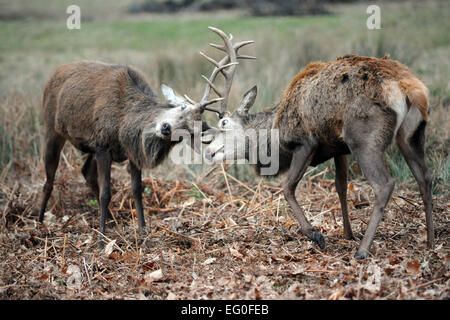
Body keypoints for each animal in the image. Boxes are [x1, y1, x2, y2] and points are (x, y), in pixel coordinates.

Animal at [37, 26, 253, 242]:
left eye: (188, 133)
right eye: (182, 107)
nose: (165, 128)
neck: (123, 124)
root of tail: (54, 73)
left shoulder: (131, 151)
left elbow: (137, 190)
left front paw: (142, 232)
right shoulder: (102, 143)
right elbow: (106, 192)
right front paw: (101, 239)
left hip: (85, 145)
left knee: (85, 172)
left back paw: (111, 219)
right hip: (50, 126)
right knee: (48, 180)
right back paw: (39, 223)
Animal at [203, 53, 432, 258]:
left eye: (224, 123)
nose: (207, 150)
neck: (276, 137)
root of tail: (408, 87)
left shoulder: (305, 143)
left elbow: (287, 187)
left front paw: (315, 234)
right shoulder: (339, 148)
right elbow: (341, 186)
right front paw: (347, 234)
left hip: (364, 139)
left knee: (384, 184)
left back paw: (362, 251)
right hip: (411, 135)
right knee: (425, 177)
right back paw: (431, 242)